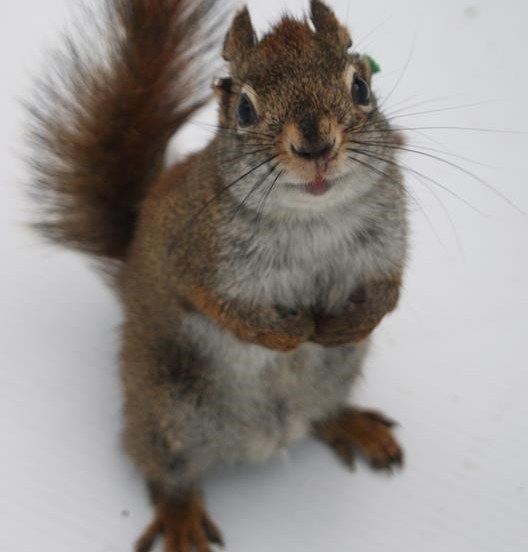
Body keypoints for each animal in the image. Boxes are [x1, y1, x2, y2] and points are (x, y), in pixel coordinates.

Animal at [29, 0, 408, 550]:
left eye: (360, 87)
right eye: (244, 111)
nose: (315, 147)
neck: (311, 219)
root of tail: (273, 434)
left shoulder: (387, 244)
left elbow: (389, 291)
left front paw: (349, 323)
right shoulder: (191, 257)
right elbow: (221, 308)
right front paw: (291, 332)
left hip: (337, 372)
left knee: (321, 411)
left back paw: (351, 423)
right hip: (169, 411)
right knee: (163, 471)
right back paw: (181, 516)